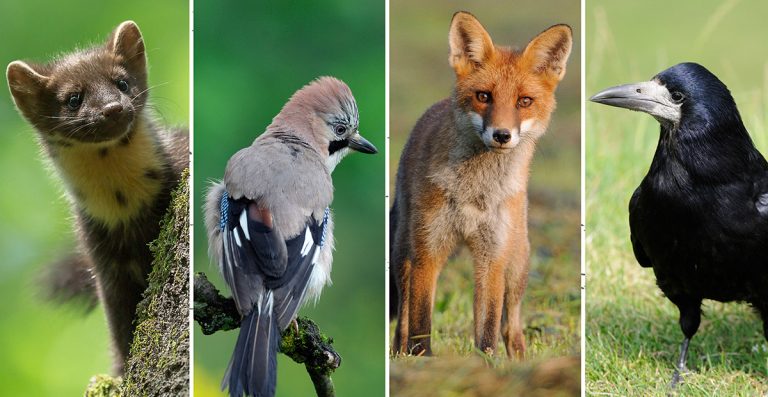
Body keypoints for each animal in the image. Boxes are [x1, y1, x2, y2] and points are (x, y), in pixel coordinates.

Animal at [392, 12, 572, 358]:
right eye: (483, 96)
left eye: (524, 101)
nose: (502, 135)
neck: (473, 193)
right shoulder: (427, 250)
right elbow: (420, 323)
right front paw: (421, 361)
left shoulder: (493, 257)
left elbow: (487, 331)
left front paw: (486, 364)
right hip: (402, 252)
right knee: (403, 320)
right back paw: (398, 354)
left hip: (517, 264)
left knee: (511, 327)